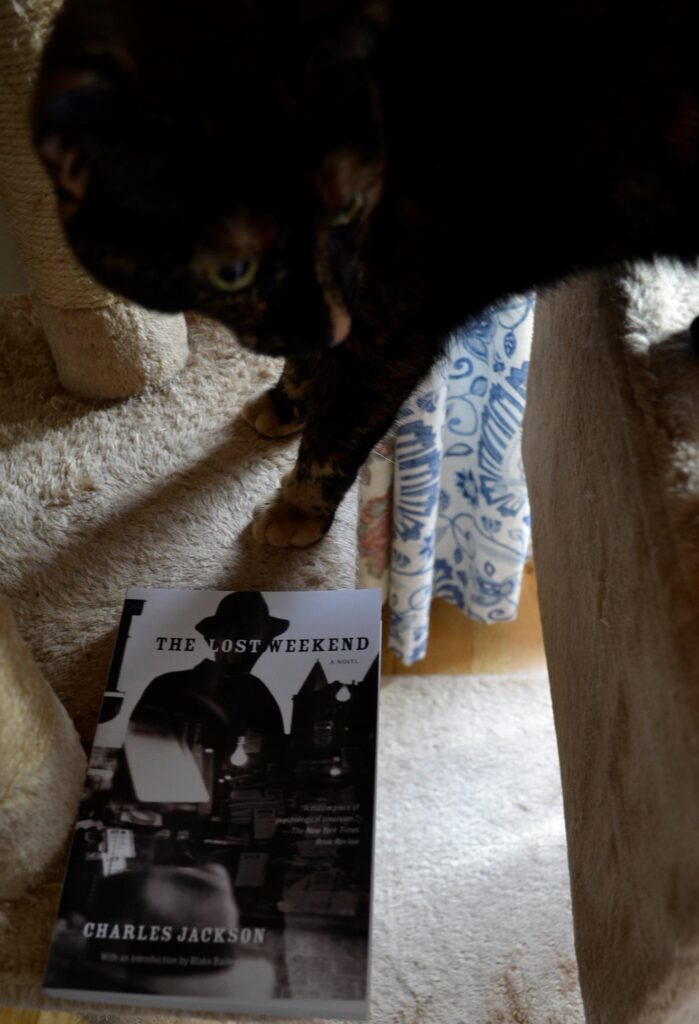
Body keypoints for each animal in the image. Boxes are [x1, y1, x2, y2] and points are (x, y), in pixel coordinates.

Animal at [34, 0, 699, 544]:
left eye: (348, 208)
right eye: (232, 267)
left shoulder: (391, 328)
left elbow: (342, 425)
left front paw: (298, 507)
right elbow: (307, 363)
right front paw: (288, 399)